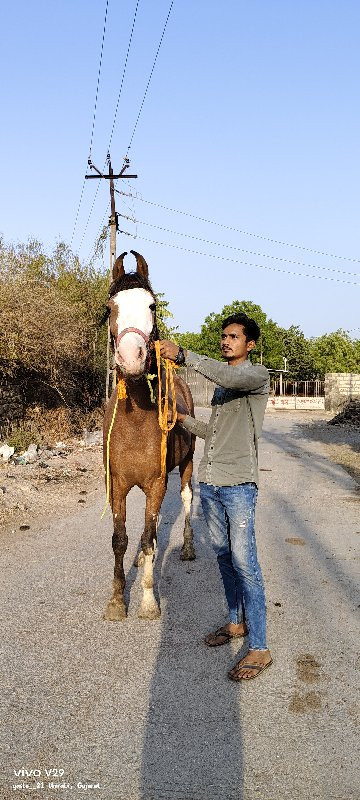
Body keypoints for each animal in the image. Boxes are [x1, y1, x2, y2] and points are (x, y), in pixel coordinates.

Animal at [101, 252, 197, 624]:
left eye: (152, 306)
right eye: (110, 307)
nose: (131, 358)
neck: (136, 423)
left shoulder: (157, 483)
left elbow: (150, 539)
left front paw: (146, 602)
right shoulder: (117, 484)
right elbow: (120, 539)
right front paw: (116, 602)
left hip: (186, 465)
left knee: (187, 500)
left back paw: (187, 547)